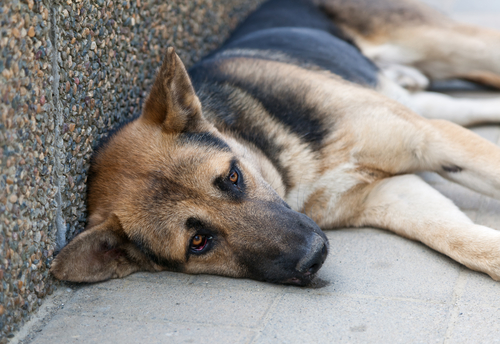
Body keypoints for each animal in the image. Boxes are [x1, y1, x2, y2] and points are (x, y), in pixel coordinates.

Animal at [48, 0, 500, 284]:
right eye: (198, 242)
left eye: (232, 177)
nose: (315, 256)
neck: (288, 167)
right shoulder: (393, 190)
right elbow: (461, 239)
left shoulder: (430, 139)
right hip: (425, 101)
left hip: (455, 49)